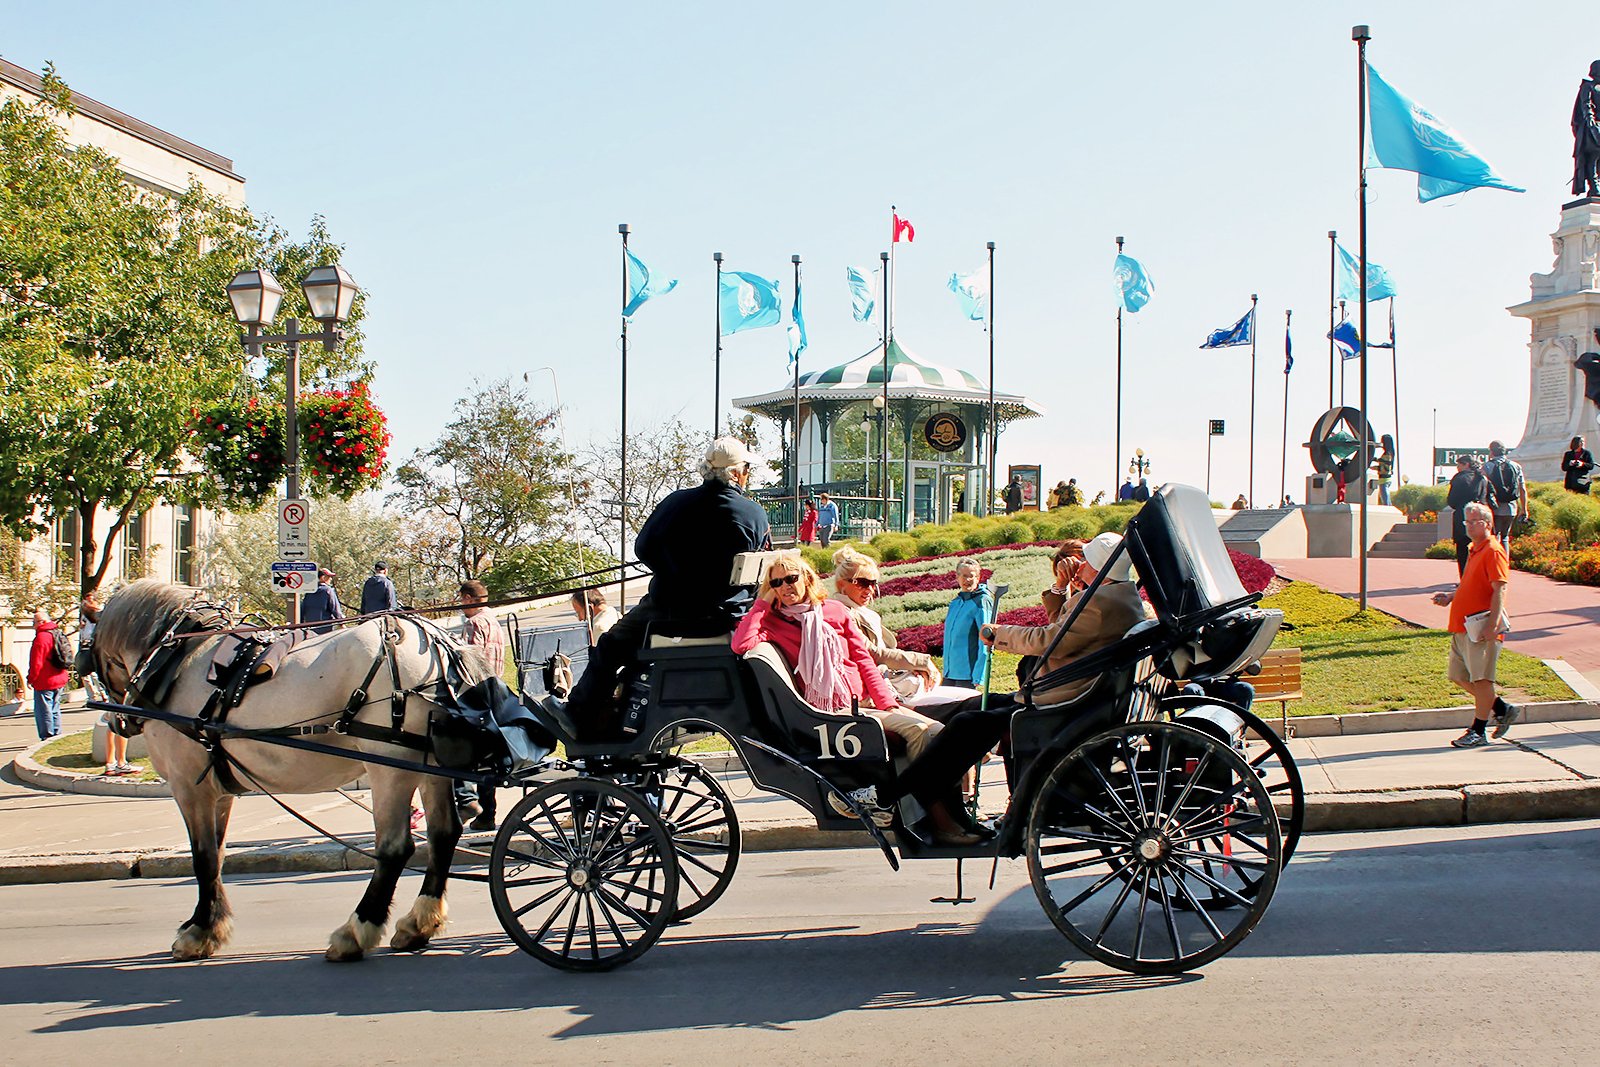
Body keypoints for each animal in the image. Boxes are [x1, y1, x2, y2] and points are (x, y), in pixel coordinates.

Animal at [86, 579, 486, 966]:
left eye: (88, 643)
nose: (117, 722)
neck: (177, 661)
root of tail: (435, 642)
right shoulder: (219, 790)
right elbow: (218, 854)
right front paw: (212, 924)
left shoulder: (189, 786)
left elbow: (202, 858)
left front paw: (198, 931)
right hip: (431, 765)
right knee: (442, 834)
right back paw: (419, 923)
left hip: (389, 766)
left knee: (394, 848)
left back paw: (355, 932)